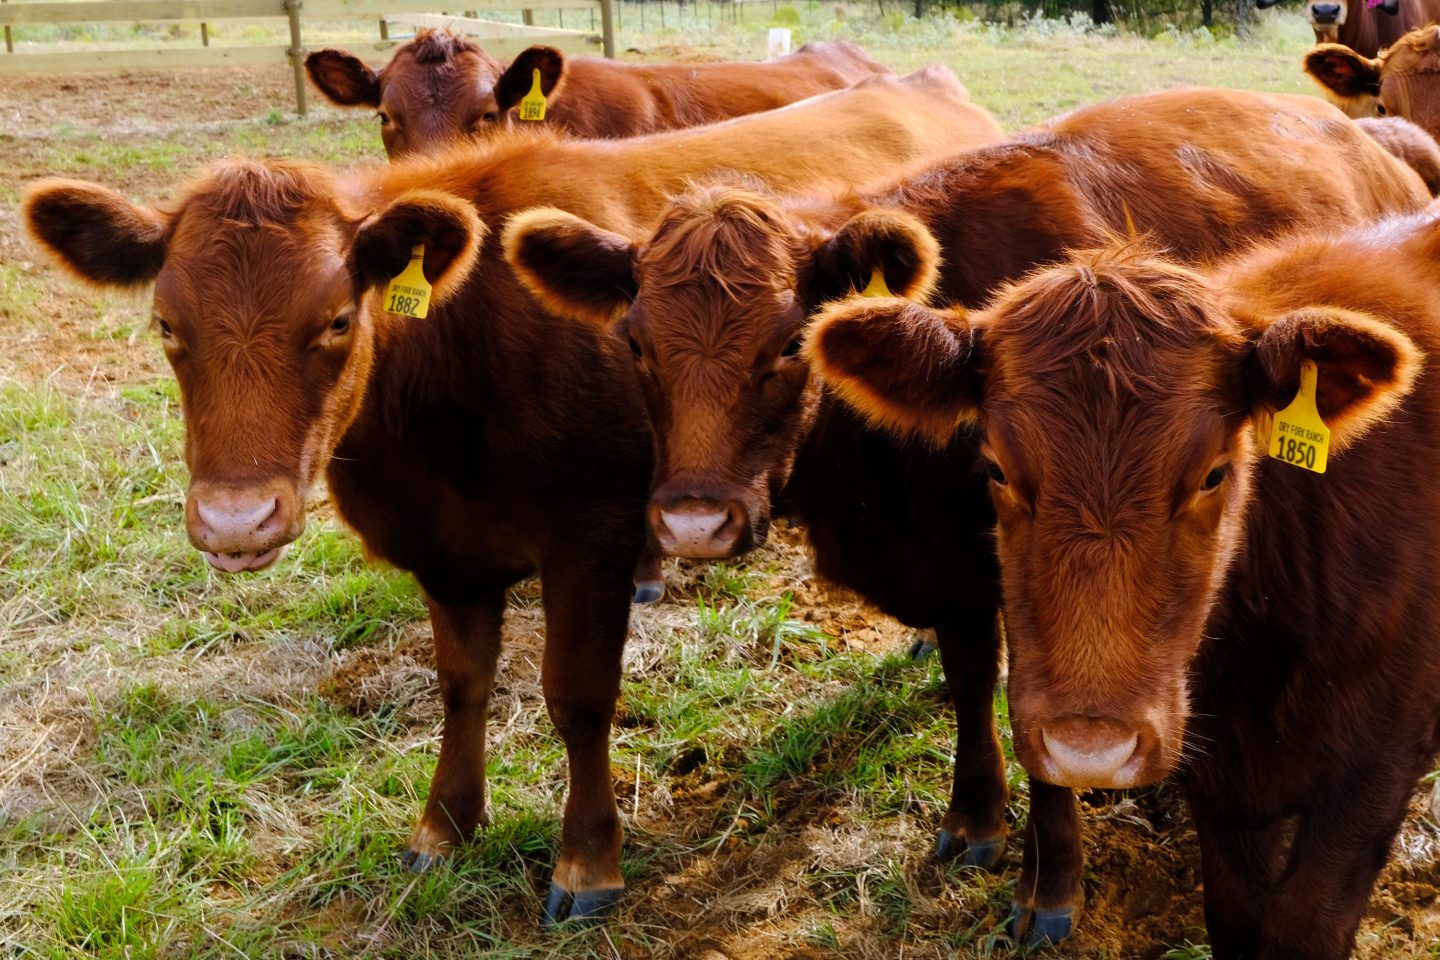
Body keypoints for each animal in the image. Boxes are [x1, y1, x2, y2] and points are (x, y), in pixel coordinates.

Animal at [19, 63, 1002, 926]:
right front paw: (444, 826)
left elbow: (577, 694)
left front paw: (587, 863)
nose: (235, 518)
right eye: (166, 324)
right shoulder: (444, 548)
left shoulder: (594, 535)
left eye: (335, 320)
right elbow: (462, 683)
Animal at [812, 211, 1440, 960]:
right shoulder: (1225, 794)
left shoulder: (1376, 770)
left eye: (1214, 471)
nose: (1089, 749)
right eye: (995, 467)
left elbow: (1303, 928)